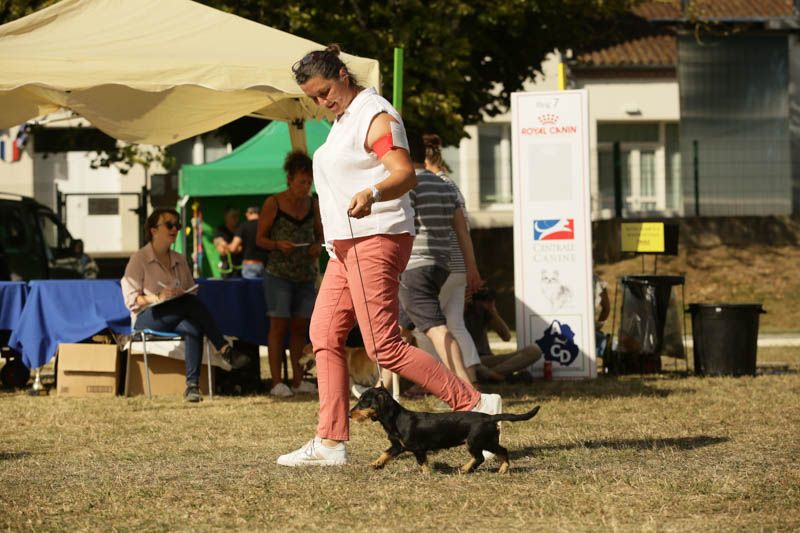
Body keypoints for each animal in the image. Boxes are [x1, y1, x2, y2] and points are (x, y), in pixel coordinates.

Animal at [348, 384, 540, 472]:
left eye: (364, 401)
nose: (349, 415)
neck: (396, 419)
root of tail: (489, 417)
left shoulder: (417, 448)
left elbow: (422, 463)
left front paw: (426, 475)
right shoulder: (398, 446)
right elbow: (385, 453)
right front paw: (376, 464)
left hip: (475, 441)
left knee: (479, 458)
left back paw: (464, 469)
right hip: (488, 441)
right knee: (503, 451)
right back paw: (503, 469)